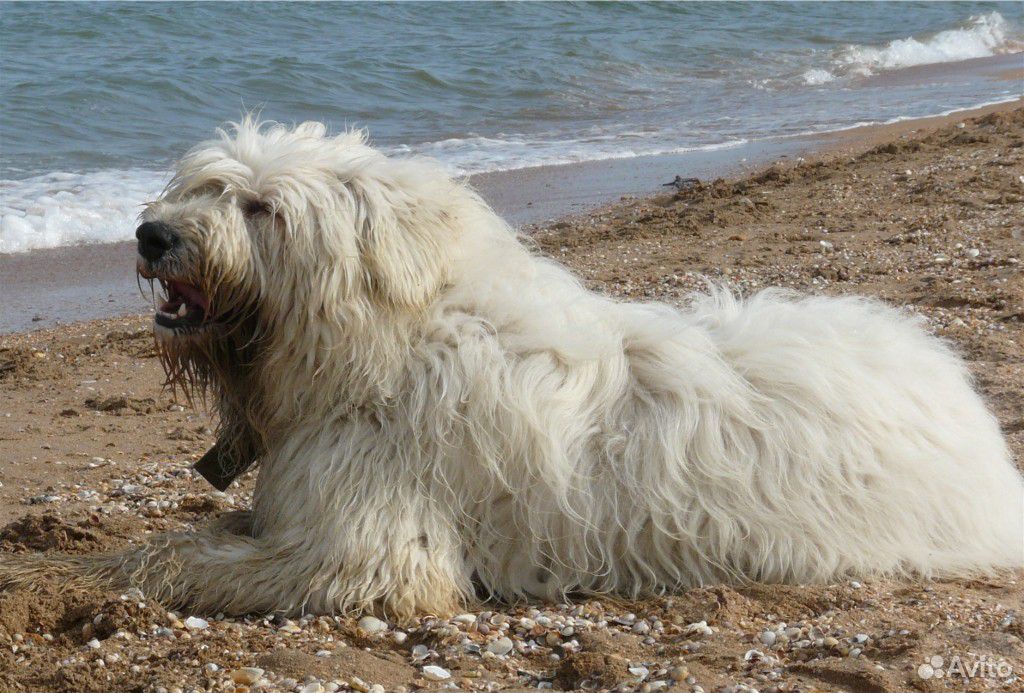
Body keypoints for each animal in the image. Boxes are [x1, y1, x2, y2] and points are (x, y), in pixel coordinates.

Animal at [2, 118, 1024, 618]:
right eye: (204, 184)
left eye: (261, 207)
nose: (151, 233)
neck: (381, 341)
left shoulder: (366, 546)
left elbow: (179, 554)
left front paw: (80, 574)